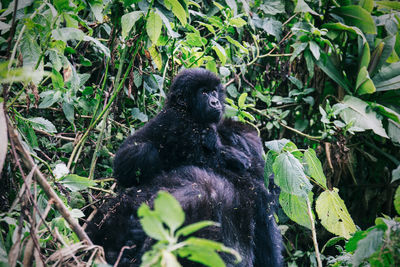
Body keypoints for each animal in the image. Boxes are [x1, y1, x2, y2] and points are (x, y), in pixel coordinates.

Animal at [86, 68, 282, 266]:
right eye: (203, 92)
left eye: (213, 91)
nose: (215, 101)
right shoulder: (182, 125)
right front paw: (234, 156)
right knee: (146, 153)